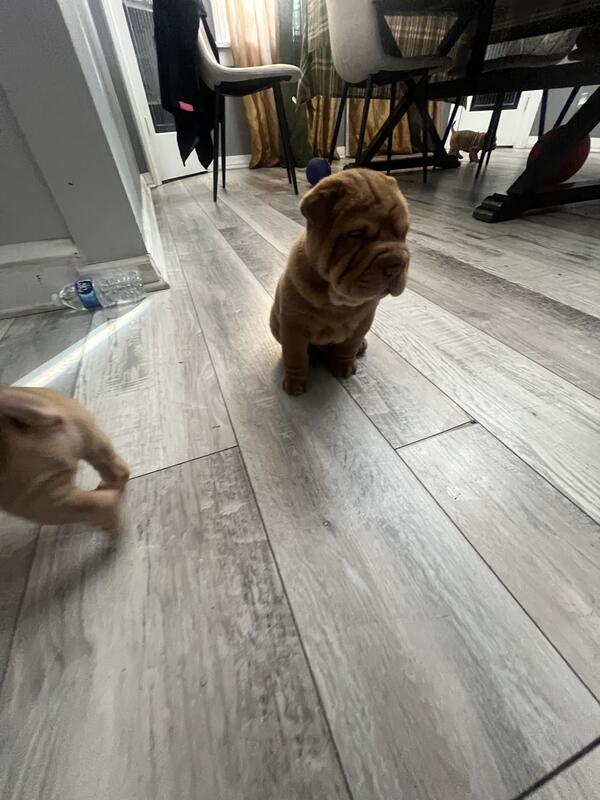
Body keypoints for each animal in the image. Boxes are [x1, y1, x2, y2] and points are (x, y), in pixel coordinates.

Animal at [270, 169, 410, 395]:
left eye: (403, 233)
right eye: (355, 235)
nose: (396, 263)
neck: (337, 300)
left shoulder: (363, 321)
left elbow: (348, 346)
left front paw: (343, 365)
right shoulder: (294, 326)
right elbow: (296, 355)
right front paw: (296, 382)